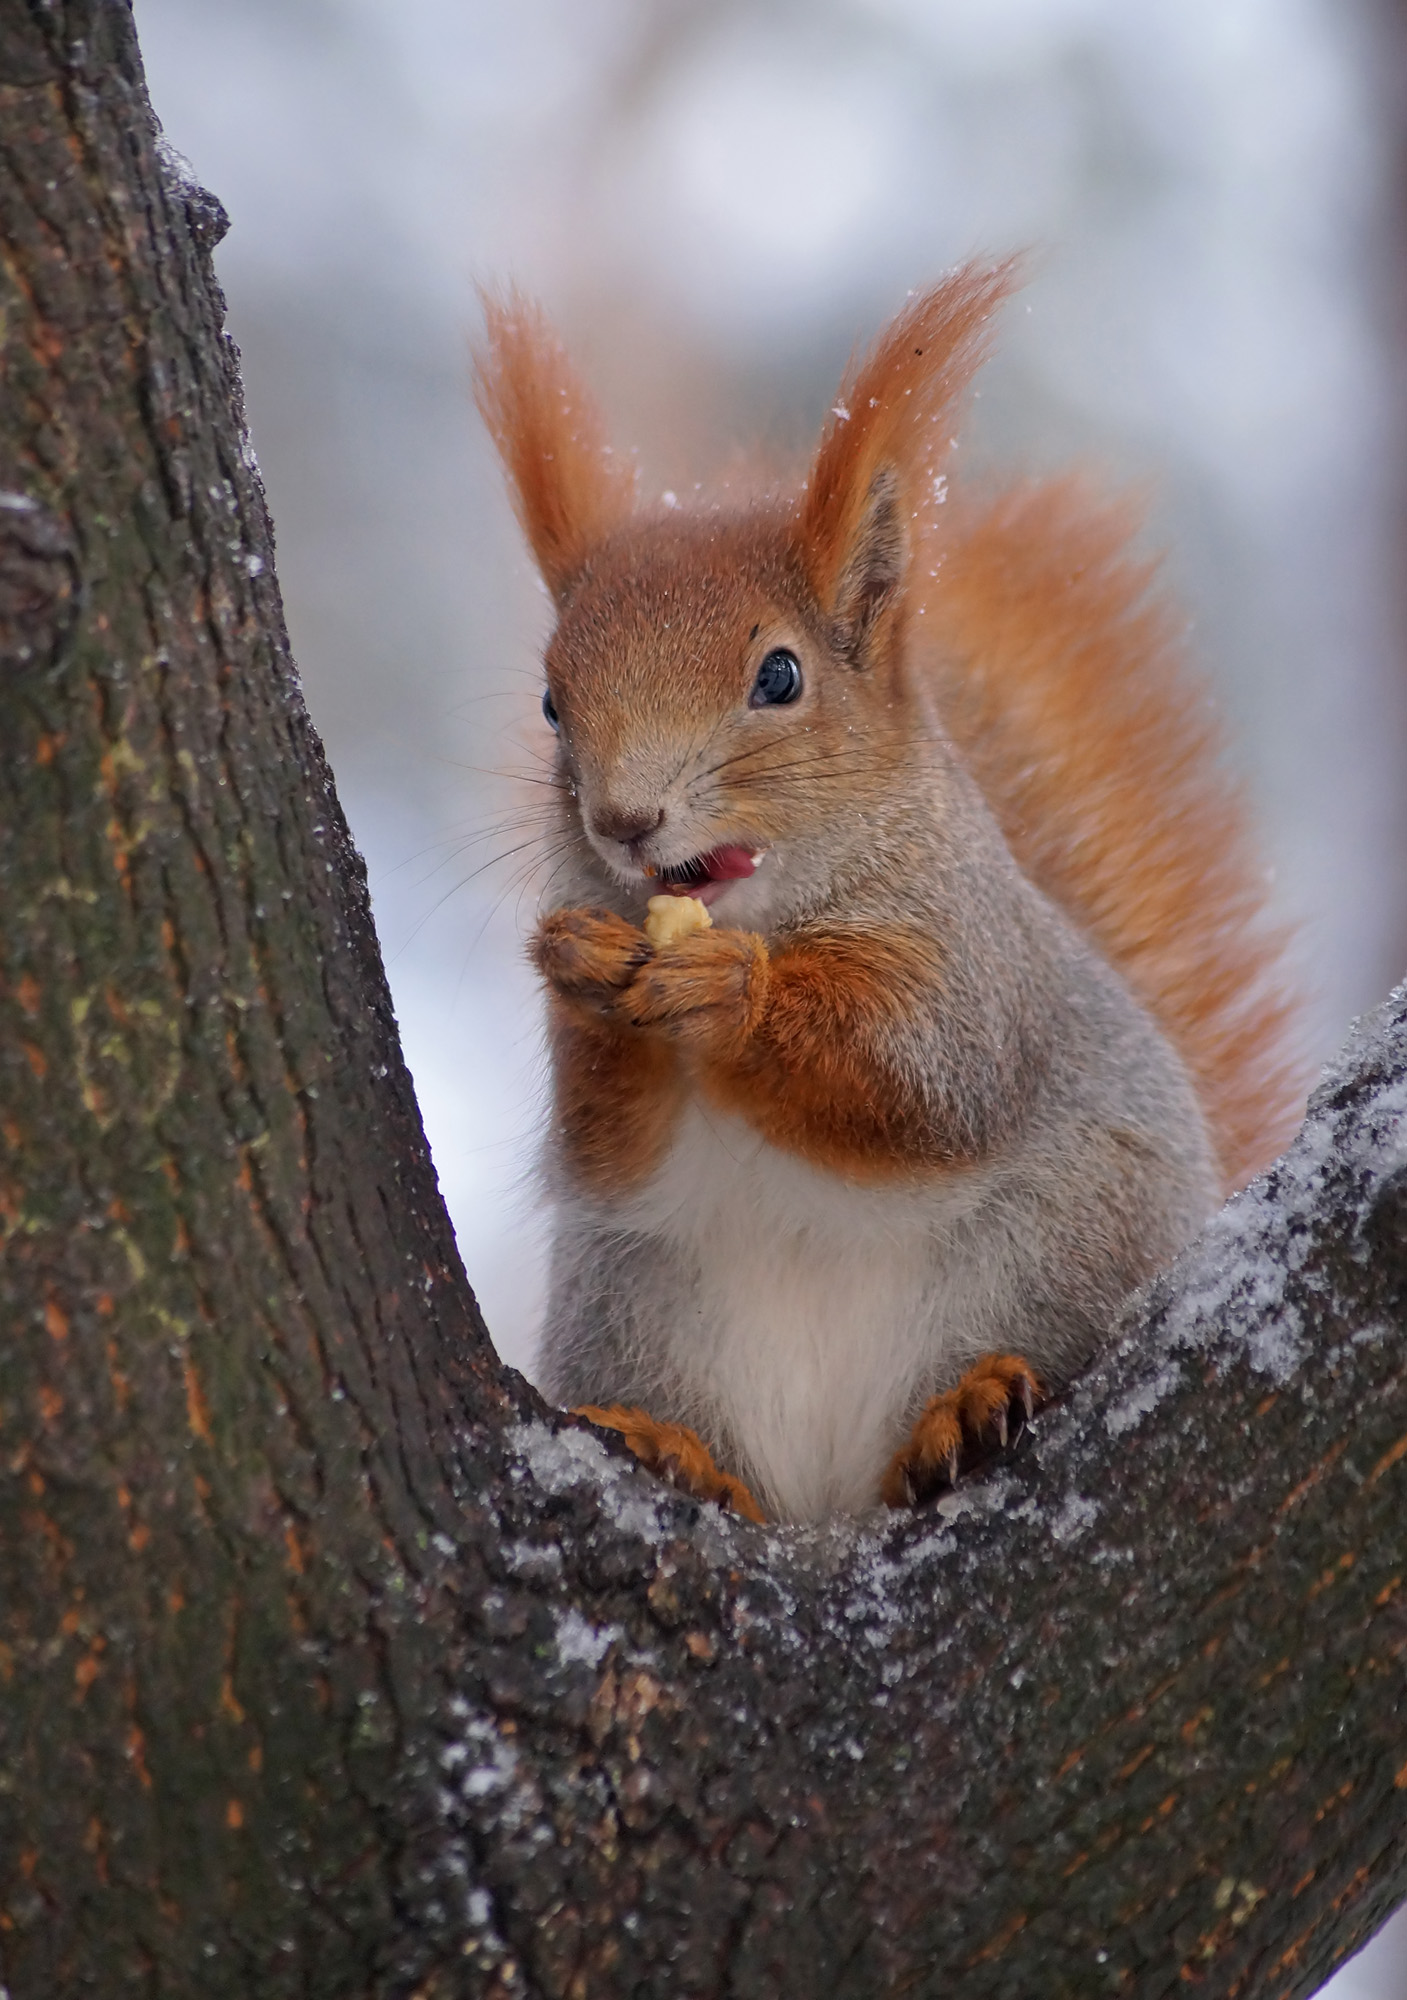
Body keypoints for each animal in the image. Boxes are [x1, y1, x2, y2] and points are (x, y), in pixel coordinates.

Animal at [471, 262, 1295, 1512]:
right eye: (554, 702)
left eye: (779, 675)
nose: (623, 819)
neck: (776, 910)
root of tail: (830, 1499)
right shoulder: (612, 1160)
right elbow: (605, 1148)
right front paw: (580, 970)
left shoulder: (974, 963)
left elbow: (918, 1077)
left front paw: (731, 991)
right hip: (637, 1305)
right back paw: (682, 1452)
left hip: (1060, 1247)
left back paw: (961, 1408)